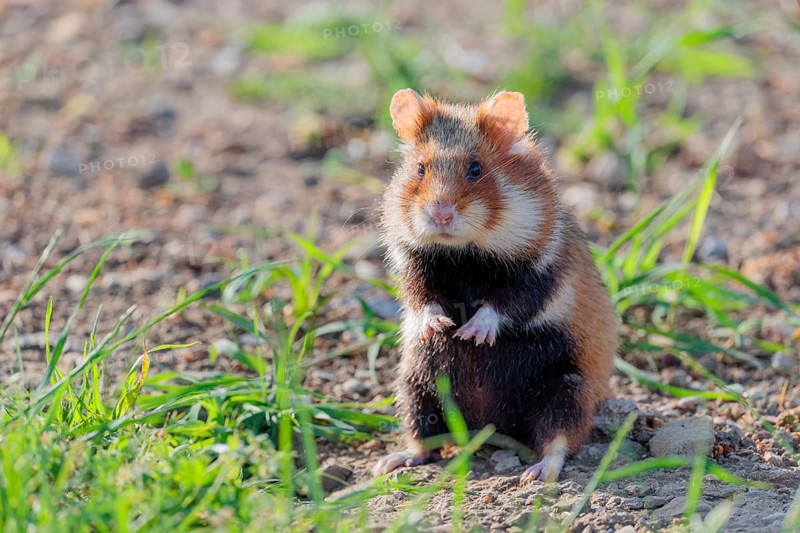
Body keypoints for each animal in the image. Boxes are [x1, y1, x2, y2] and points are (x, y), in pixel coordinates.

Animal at [373, 89, 618, 482]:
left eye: (475, 169)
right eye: (420, 169)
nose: (440, 214)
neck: (465, 252)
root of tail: (489, 427)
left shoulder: (540, 268)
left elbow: (506, 303)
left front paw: (470, 334)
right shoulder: (412, 262)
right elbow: (422, 297)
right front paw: (440, 327)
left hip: (567, 388)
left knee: (559, 440)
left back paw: (535, 474)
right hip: (415, 385)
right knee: (423, 440)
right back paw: (389, 463)